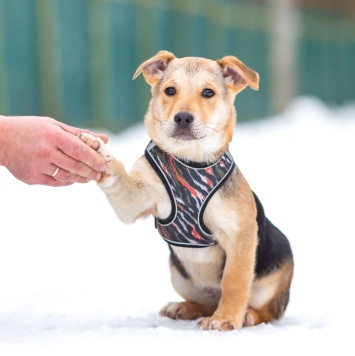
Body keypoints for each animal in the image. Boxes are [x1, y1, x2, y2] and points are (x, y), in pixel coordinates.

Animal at [80, 50, 294, 330]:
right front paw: (97, 150)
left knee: (270, 311)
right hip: (178, 275)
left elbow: (234, 282)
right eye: (170, 90)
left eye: (208, 93)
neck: (189, 161)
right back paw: (182, 307)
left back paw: (247, 315)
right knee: (204, 303)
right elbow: (117, 176)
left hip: (277, 269)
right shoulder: (137, 199)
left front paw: (225, 319)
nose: (182, 117)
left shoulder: (239, 233)